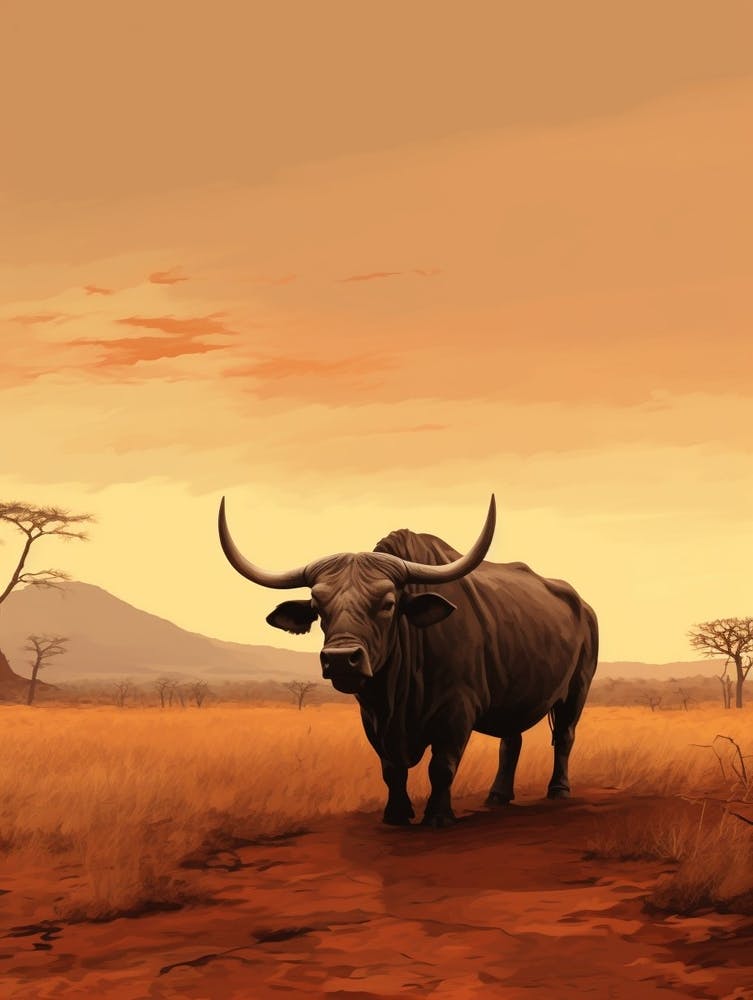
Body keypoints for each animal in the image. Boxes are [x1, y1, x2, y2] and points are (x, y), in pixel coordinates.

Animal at [218, 496, 598, 827]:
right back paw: (497, 796)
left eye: (388, 603)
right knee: (511, 740)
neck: (396, 693)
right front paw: (396, 814)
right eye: (318, 606)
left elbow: (441, 766)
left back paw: (558, 790)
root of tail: (583, 605)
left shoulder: (457, 710)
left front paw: (438, 816)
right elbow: (391, 770)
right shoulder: (373, 718)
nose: (341, 660)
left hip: (576, 691)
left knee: (564, 736)